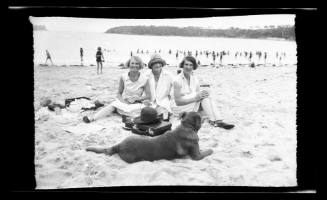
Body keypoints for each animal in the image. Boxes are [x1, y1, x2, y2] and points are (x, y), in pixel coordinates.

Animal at [86, 111, 214, 163]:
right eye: (200, 117)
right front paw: (211, 150)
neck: (187, 127)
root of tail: (120, 145)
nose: (205, 118)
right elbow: (207, 152)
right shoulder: (197, 156)